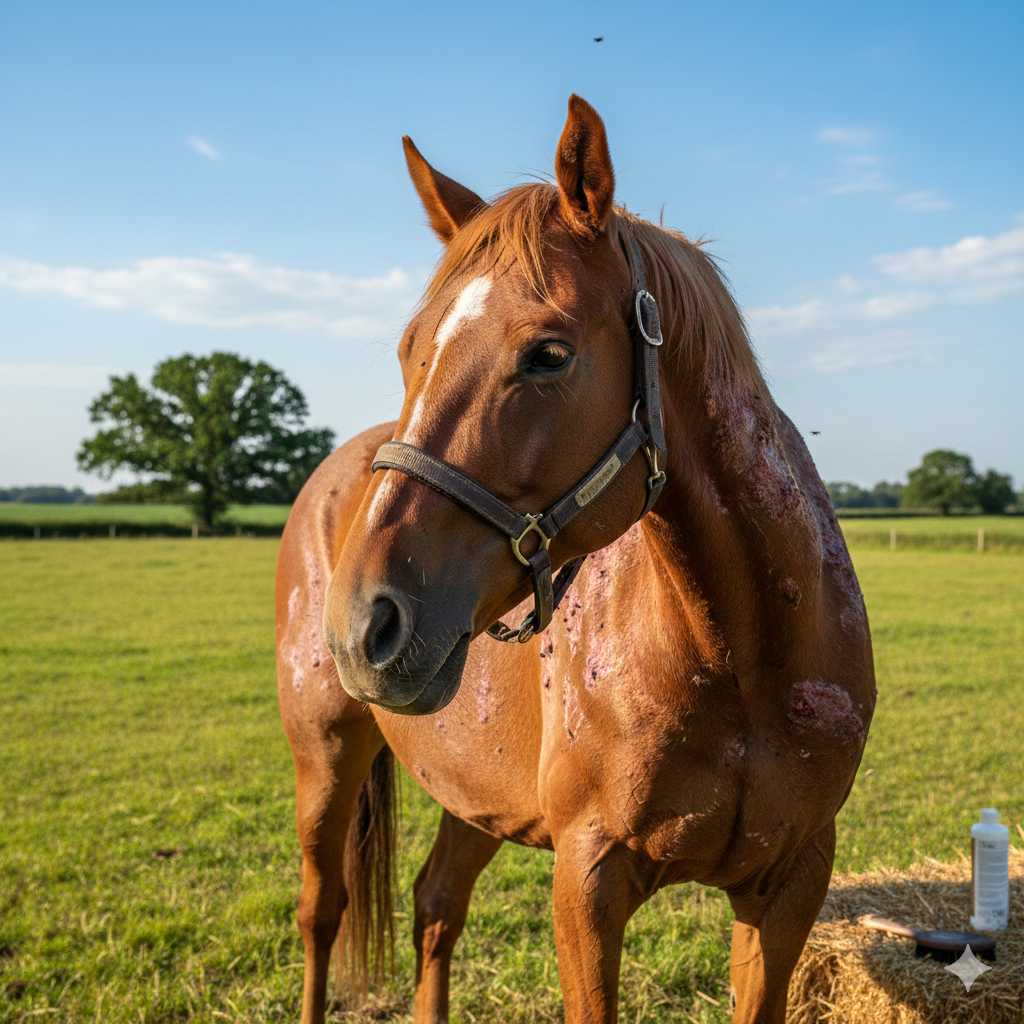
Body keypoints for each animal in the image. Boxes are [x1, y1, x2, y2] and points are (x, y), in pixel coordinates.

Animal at [276, 95, 875, 1024]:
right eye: (410, 351)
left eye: (547, 353)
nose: (363, 623)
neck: (743, 654)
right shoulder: (587, 883)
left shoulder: (790, 885)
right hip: (325, 756)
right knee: (322, 913)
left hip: (471, 792)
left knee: (435, 906)